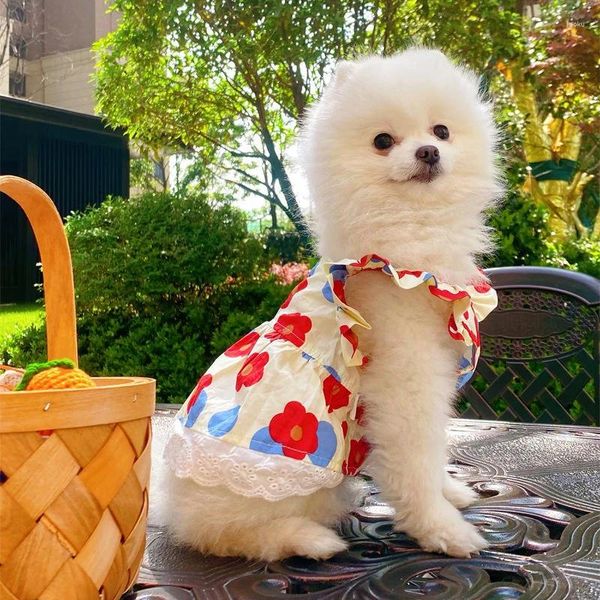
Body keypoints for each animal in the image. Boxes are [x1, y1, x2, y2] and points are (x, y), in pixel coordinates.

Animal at [159, 49, 502, 560]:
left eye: (441, 131)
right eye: (383, 141)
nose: (427, 152)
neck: (407, 238)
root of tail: (170, 504)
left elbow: (436, 448)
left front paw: (452, 493)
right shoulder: (407, 376)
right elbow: (415, 458)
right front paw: (442, 529)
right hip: (277, 490)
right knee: (225, 535)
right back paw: (309, 539)